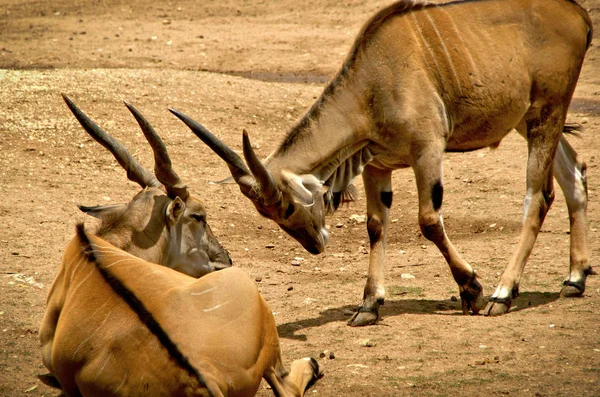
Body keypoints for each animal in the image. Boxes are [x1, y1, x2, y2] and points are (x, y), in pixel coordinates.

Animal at [171, 0, 592, 324]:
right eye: (267, 214)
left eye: (287, 206)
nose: (315, 245)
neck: (374, 79)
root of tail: (578, 15)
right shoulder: (377, 166)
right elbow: (375, 226)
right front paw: (369, 305)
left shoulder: (428, 150)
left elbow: (428, 221)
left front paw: (471, 289)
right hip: (531, 121)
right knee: (574, 175)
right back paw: (574, 279)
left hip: (546, 114)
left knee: (537, 197)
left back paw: (503, 294)